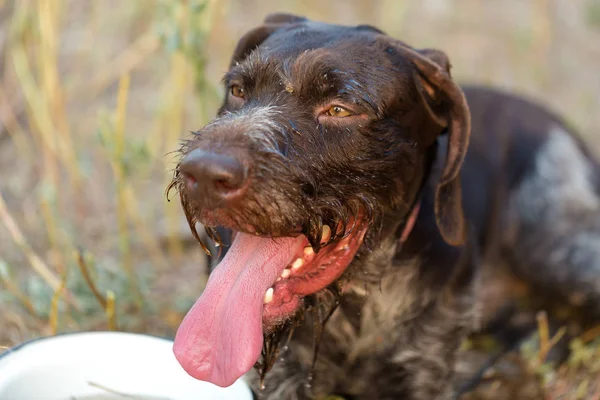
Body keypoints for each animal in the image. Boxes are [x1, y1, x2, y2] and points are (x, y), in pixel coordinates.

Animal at [166, 13, 600, 400]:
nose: (204, 173)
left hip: (560, 253)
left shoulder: (423, 373)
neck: (358, 300)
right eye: (238, 90)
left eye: (339, 109)